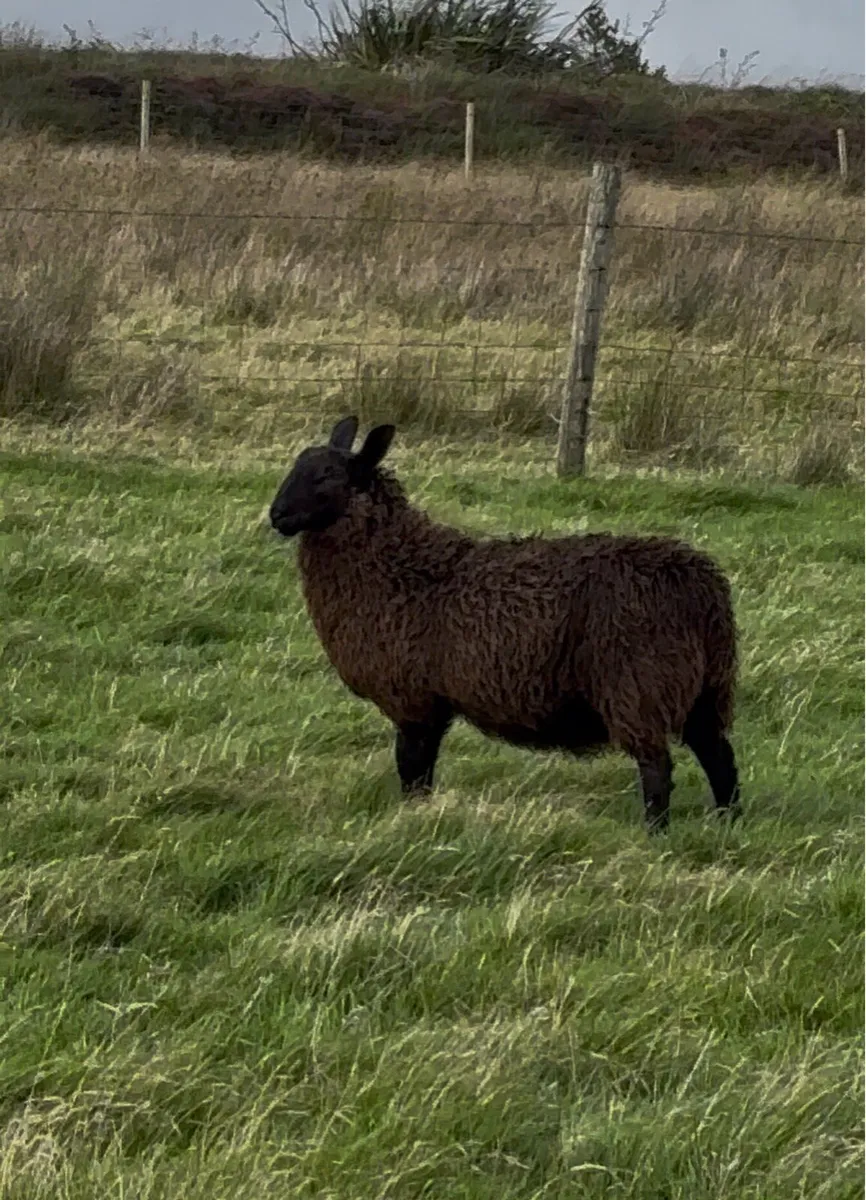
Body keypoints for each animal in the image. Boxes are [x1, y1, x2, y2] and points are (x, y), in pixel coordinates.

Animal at [268, 415, 741, 833]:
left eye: (327, 475)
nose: (276, 515)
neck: (400, 568)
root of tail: (702, 586)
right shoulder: (432, 701)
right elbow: (420, 769)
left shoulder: (414, 700)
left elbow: (412, 768)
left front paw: (412, 817)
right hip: (705, 688)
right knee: (720, 757)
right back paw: (727, 824)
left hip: (641, 686)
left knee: (658, 767)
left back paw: (655, 833)